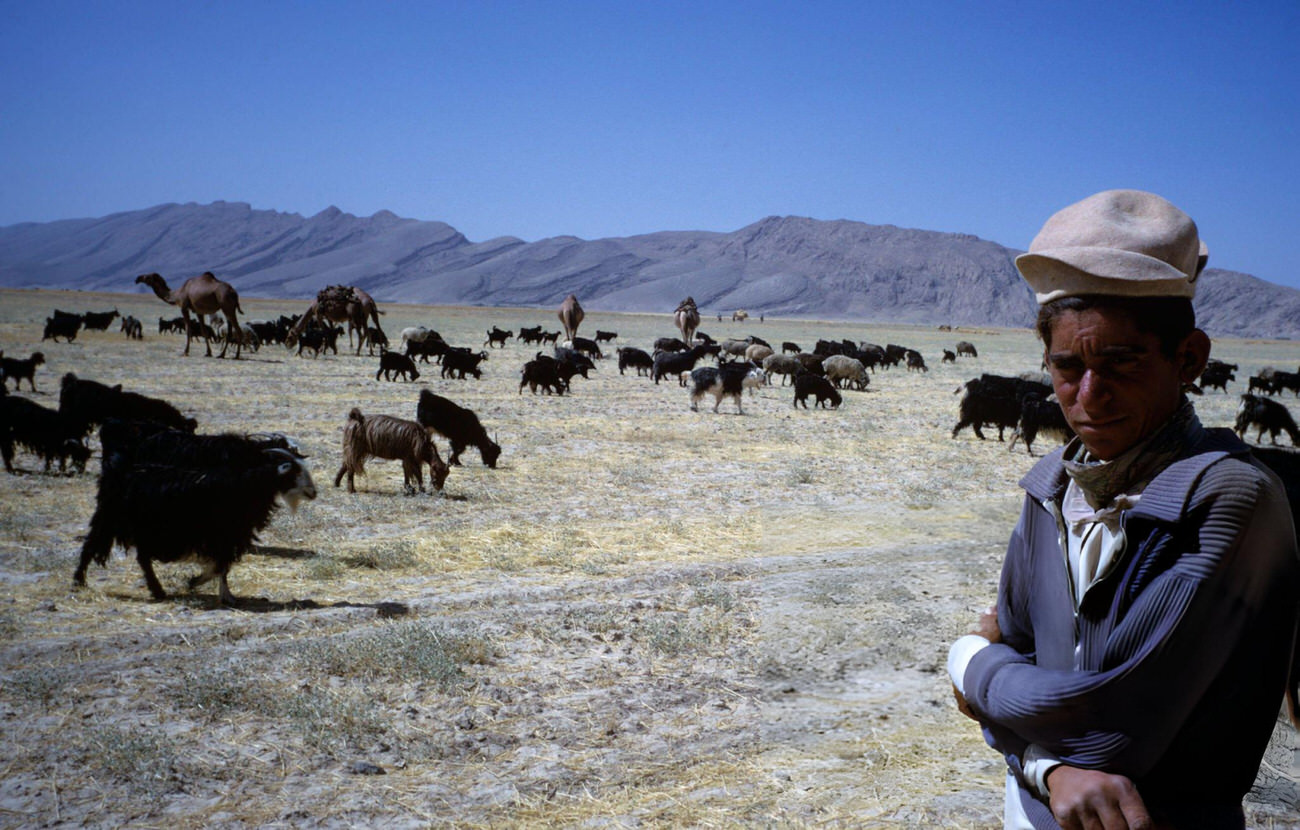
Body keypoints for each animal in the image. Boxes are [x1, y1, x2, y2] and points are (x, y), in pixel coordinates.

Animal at [76, 429, 319, 603]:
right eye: (294, 471)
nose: (313, 492)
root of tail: (115, 471)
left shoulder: (230, 536)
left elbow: (223, 566)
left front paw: (213, 589)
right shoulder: (224, 535)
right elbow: (221, 566)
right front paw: (202, 585)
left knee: (140, 557)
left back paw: (157, 591)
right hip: (111, 520)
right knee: (92, 546)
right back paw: (79, 582)